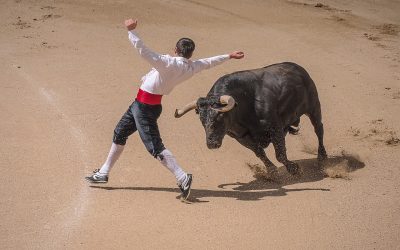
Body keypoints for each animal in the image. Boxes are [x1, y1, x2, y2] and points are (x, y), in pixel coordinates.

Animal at [175, 61, 328, 177]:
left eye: (220, 116)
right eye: (201, 119)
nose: (212, 144)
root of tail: (298, 68)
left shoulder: (275, 128)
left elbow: (280, 154)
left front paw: (294, 169)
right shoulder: (241, 136)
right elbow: (259, 153)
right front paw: (272, 171)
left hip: (314, 107)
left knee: (319, 130)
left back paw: (322, 158)